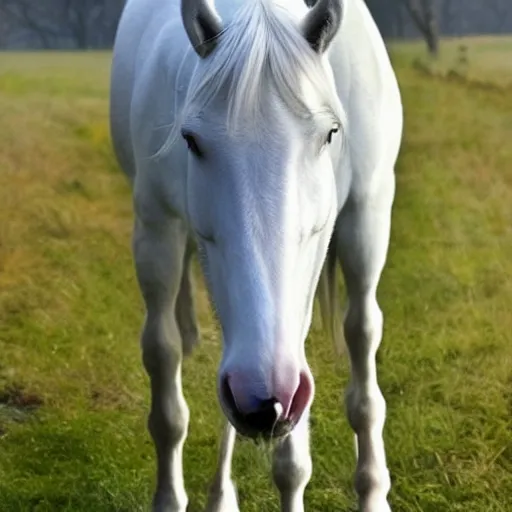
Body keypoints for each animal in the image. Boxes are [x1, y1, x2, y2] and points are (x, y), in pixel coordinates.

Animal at [110, 0, 402, 510]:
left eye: (330, 133)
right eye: (190, 139)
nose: (264, 400)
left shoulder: (365, 217)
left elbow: (362, 351)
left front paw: (370, 491)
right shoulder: (156, 230)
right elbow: (163, 359)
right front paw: (170, 496)